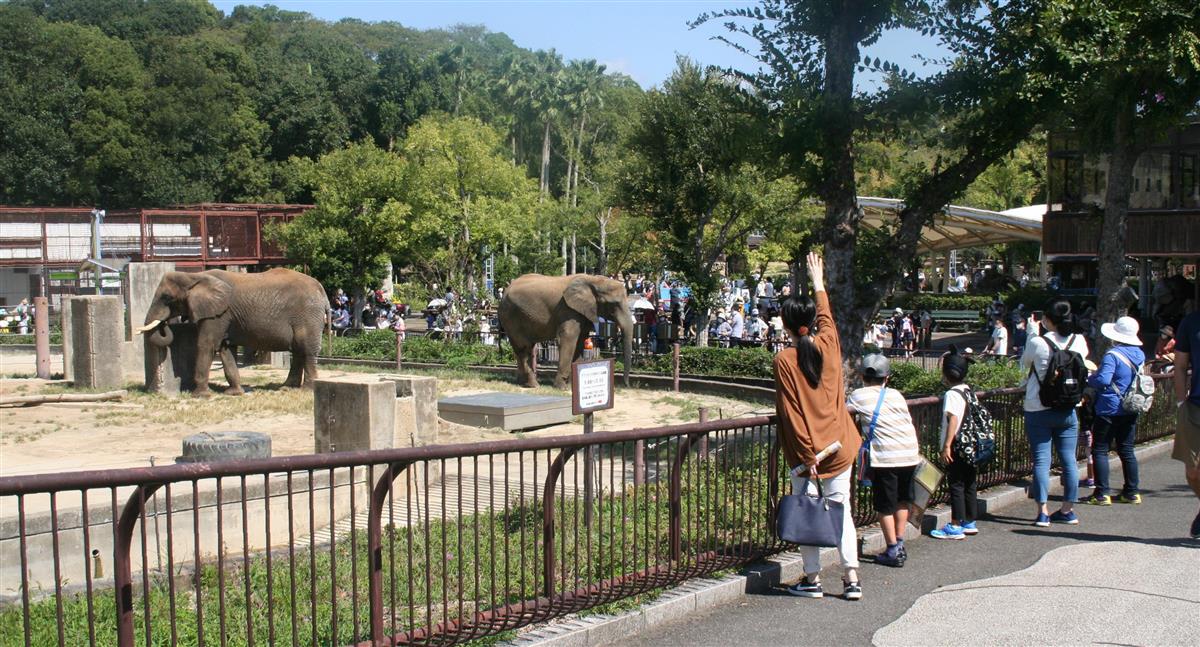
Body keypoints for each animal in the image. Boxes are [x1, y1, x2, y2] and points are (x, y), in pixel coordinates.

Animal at [137, 267, 328, 396]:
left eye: (167, 297)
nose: (166, 324)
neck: (195, 275)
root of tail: (322, 290)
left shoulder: (219, 314)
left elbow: (206, 345)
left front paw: (199, 395)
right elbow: (224, 348)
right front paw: (234, 393)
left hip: (308, 315)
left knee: (306, 350)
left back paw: (307, 390)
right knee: (297, 350)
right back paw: (286, 388)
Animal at [496, 273, 633, 388]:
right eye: (613, 305)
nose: (626, 385)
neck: (592, 280)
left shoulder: (582, 312)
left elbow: (580, 341)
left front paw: (574, 386)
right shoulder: (567, 310)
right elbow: (568, 339)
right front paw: (561, 387)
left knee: (525, 348)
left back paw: (521, 383)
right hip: (511, 317)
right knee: (523, 347)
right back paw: (533, 385)